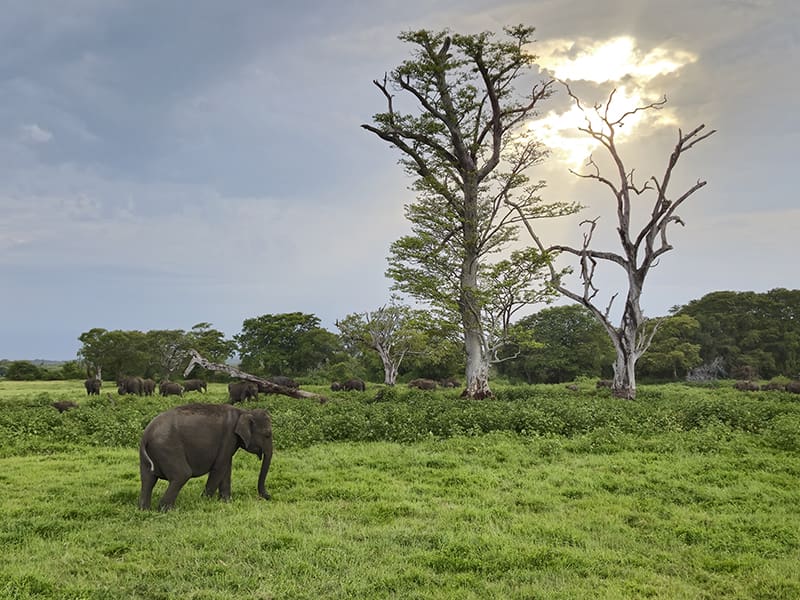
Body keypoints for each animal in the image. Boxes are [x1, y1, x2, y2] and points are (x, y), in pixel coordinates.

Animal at [138, 403, 273, 511]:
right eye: (267, 435)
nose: (268, 496)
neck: (244, 411)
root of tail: (146, 435)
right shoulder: (228, 437)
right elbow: (220, 467)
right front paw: (204, 501)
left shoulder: (230, 442)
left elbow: (227, 467)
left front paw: (226, 502)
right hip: (168, 448)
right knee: (182, 474)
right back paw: (167, 510)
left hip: (148, 455)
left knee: (148, 479)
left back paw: (144, 510)